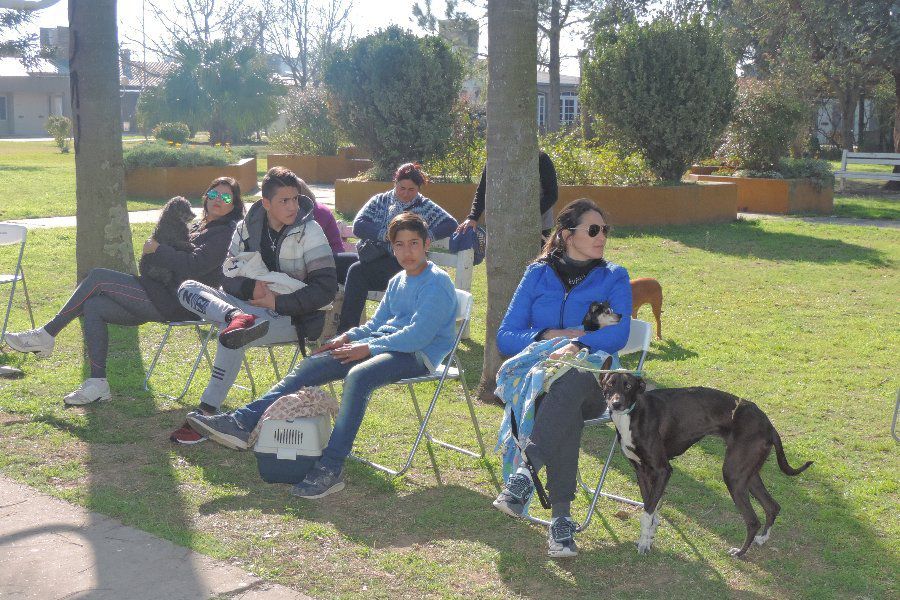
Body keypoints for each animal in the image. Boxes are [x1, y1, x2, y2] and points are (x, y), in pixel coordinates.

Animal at [600, 372, 812, 560]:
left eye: (628, 386)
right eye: (610, 384)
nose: (615, 404)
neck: (634, 413)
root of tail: (769, 424)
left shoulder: (662, 471)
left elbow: (647, 513)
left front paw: (644, 544)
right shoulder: (641, 471)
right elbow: (650, 508)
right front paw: (649, 538)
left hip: (733, 475)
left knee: (753, 520)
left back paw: (740, 553)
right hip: (747, 474)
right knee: (772, 506)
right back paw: (761, 539)